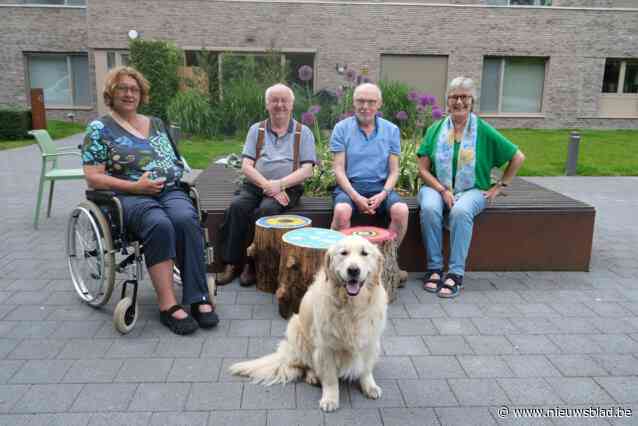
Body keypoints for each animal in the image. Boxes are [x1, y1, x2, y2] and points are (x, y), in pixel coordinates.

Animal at [231, 235, 390, 412]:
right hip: (296, 330)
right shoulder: (326, 346)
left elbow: (366, 369)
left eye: (364, 253)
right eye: (343, 253)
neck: (351, 306)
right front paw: (330, 399)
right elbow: (330, 377)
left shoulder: (371, 340)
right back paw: (313, 376)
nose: (353, 270)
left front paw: (369, 386)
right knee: (307, 364)